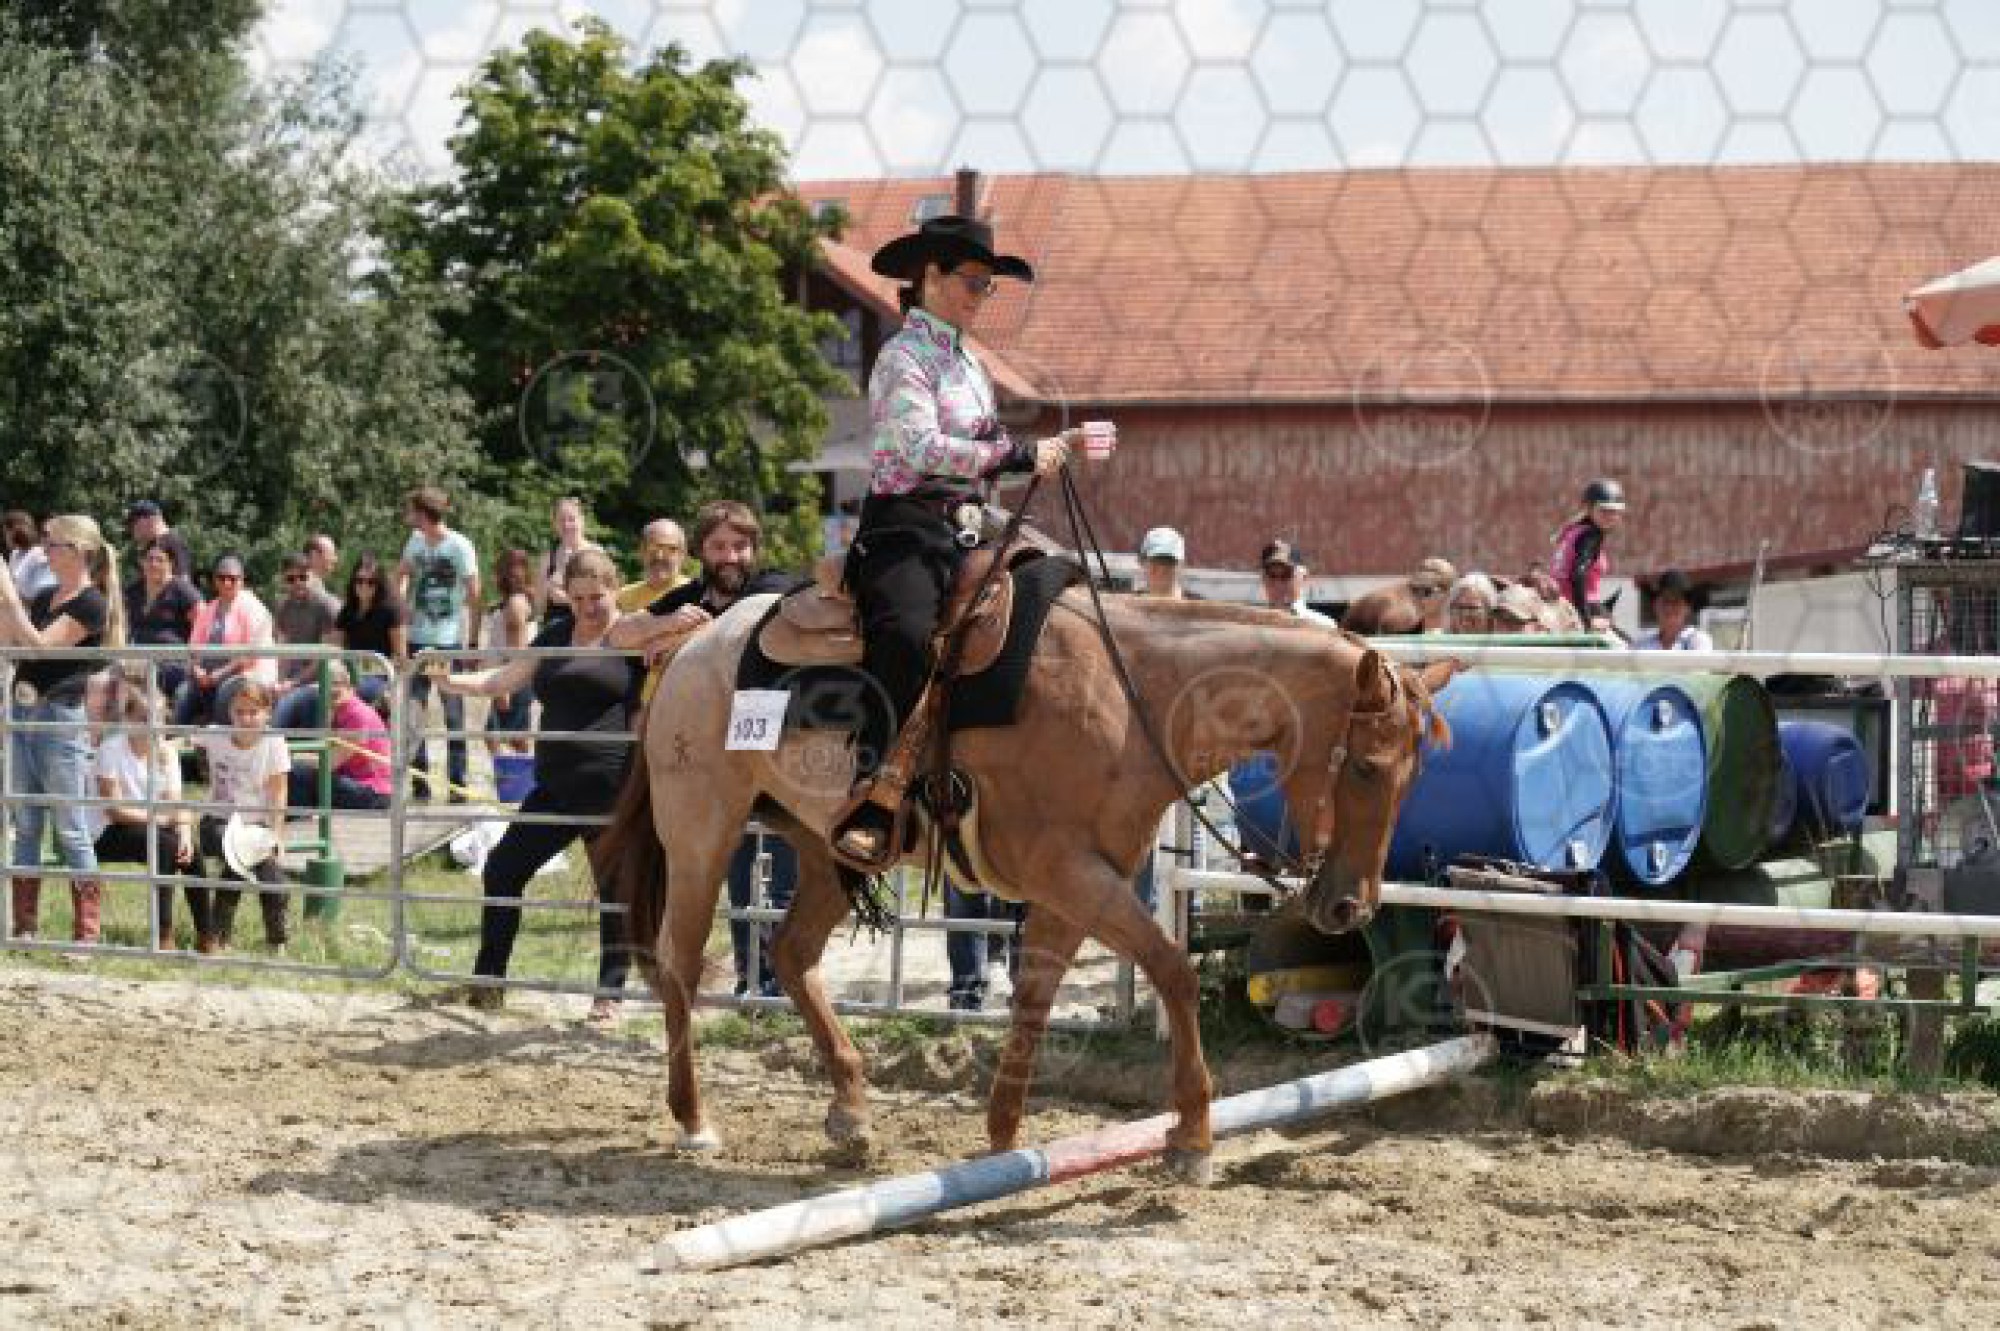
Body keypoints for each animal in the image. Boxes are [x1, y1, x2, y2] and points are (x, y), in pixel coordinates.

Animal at [593, 586, 1452, 1183]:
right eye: (1366, 766)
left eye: (1415, 775)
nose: (1350, 905)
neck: (1132, 697)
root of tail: (695, 639)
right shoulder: (1072, 871)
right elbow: (1171, 969)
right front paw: (1193, 1138)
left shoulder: (1078, 882)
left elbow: (1036, 994)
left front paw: (1002, 1139)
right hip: (701, 831)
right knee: (678, 962)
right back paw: (694, 1119)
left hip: (822, 841)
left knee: (793, 952)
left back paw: (851, 1107)